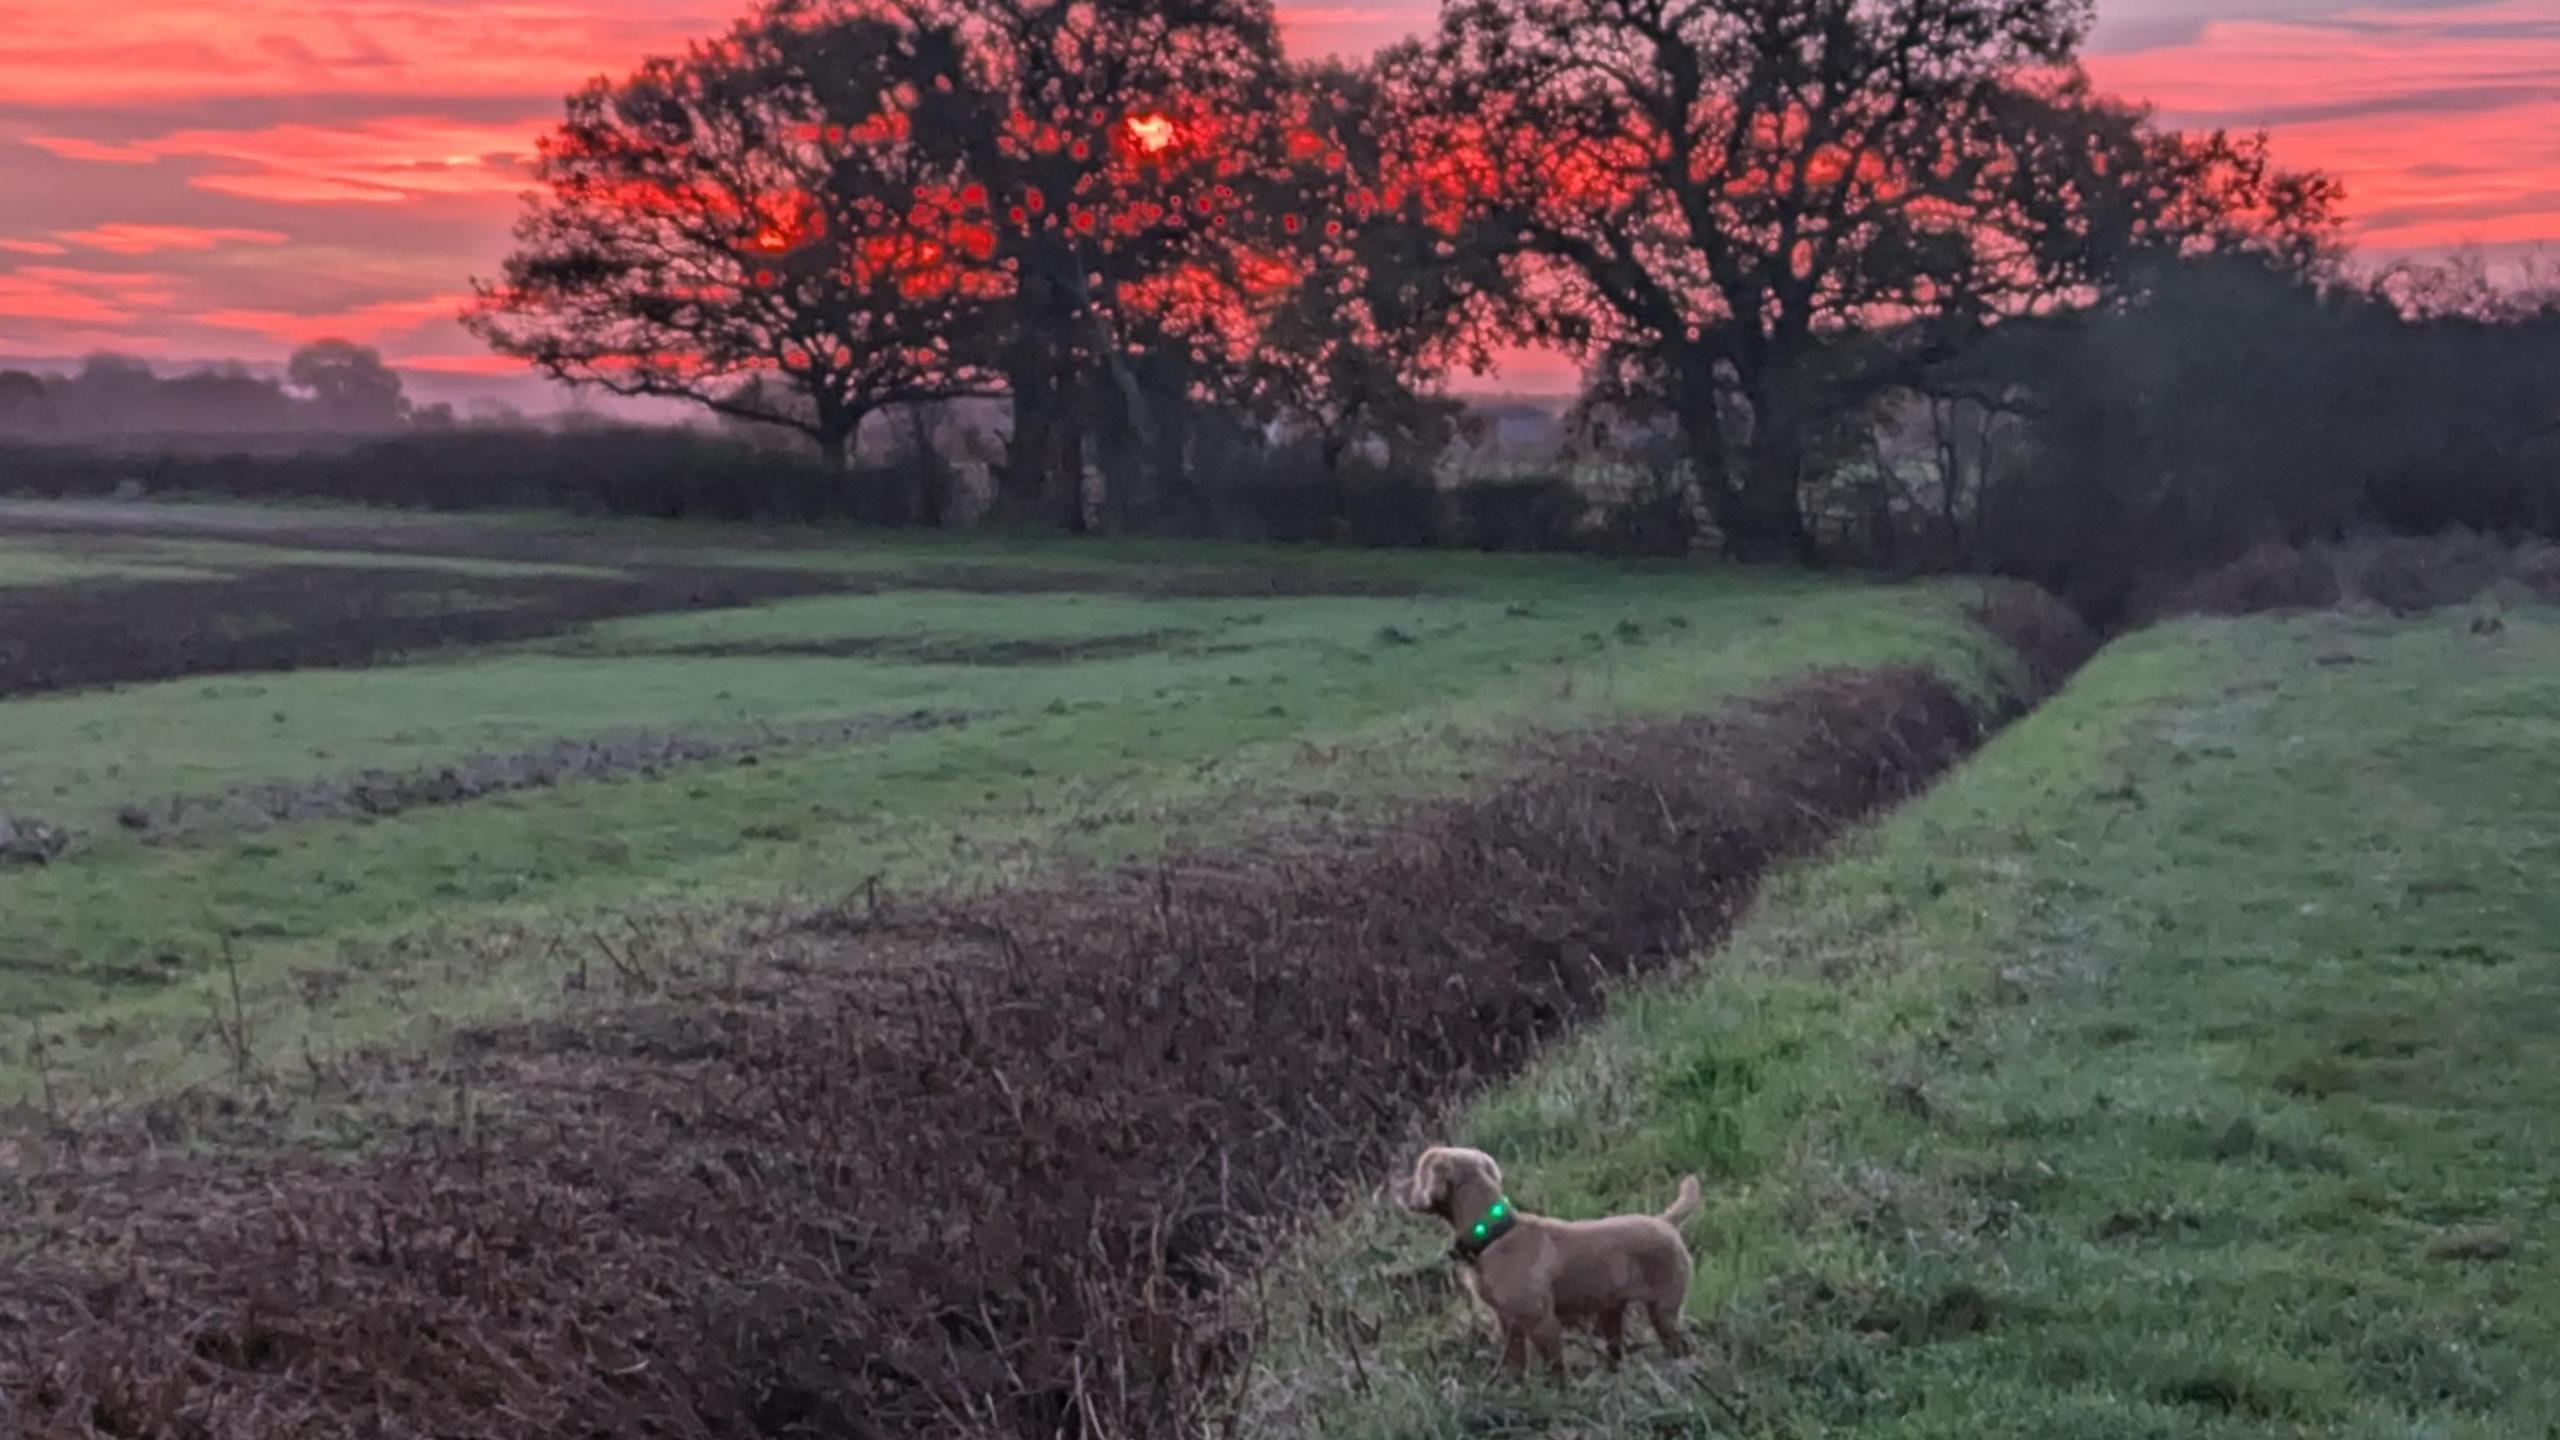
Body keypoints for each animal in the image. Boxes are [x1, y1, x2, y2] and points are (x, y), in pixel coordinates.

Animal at [1402, 1142, 1699, 1383]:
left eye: (1418, 1172)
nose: (1397, 1187)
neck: (1494, 1233)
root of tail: (1666, 1222)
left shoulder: (1541, 1322)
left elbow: (1556, 1370)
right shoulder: (1508, 1323)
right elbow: (1516, 1367)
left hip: (1664, 1310)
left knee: (1682, 1346)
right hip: (1612, 1312)